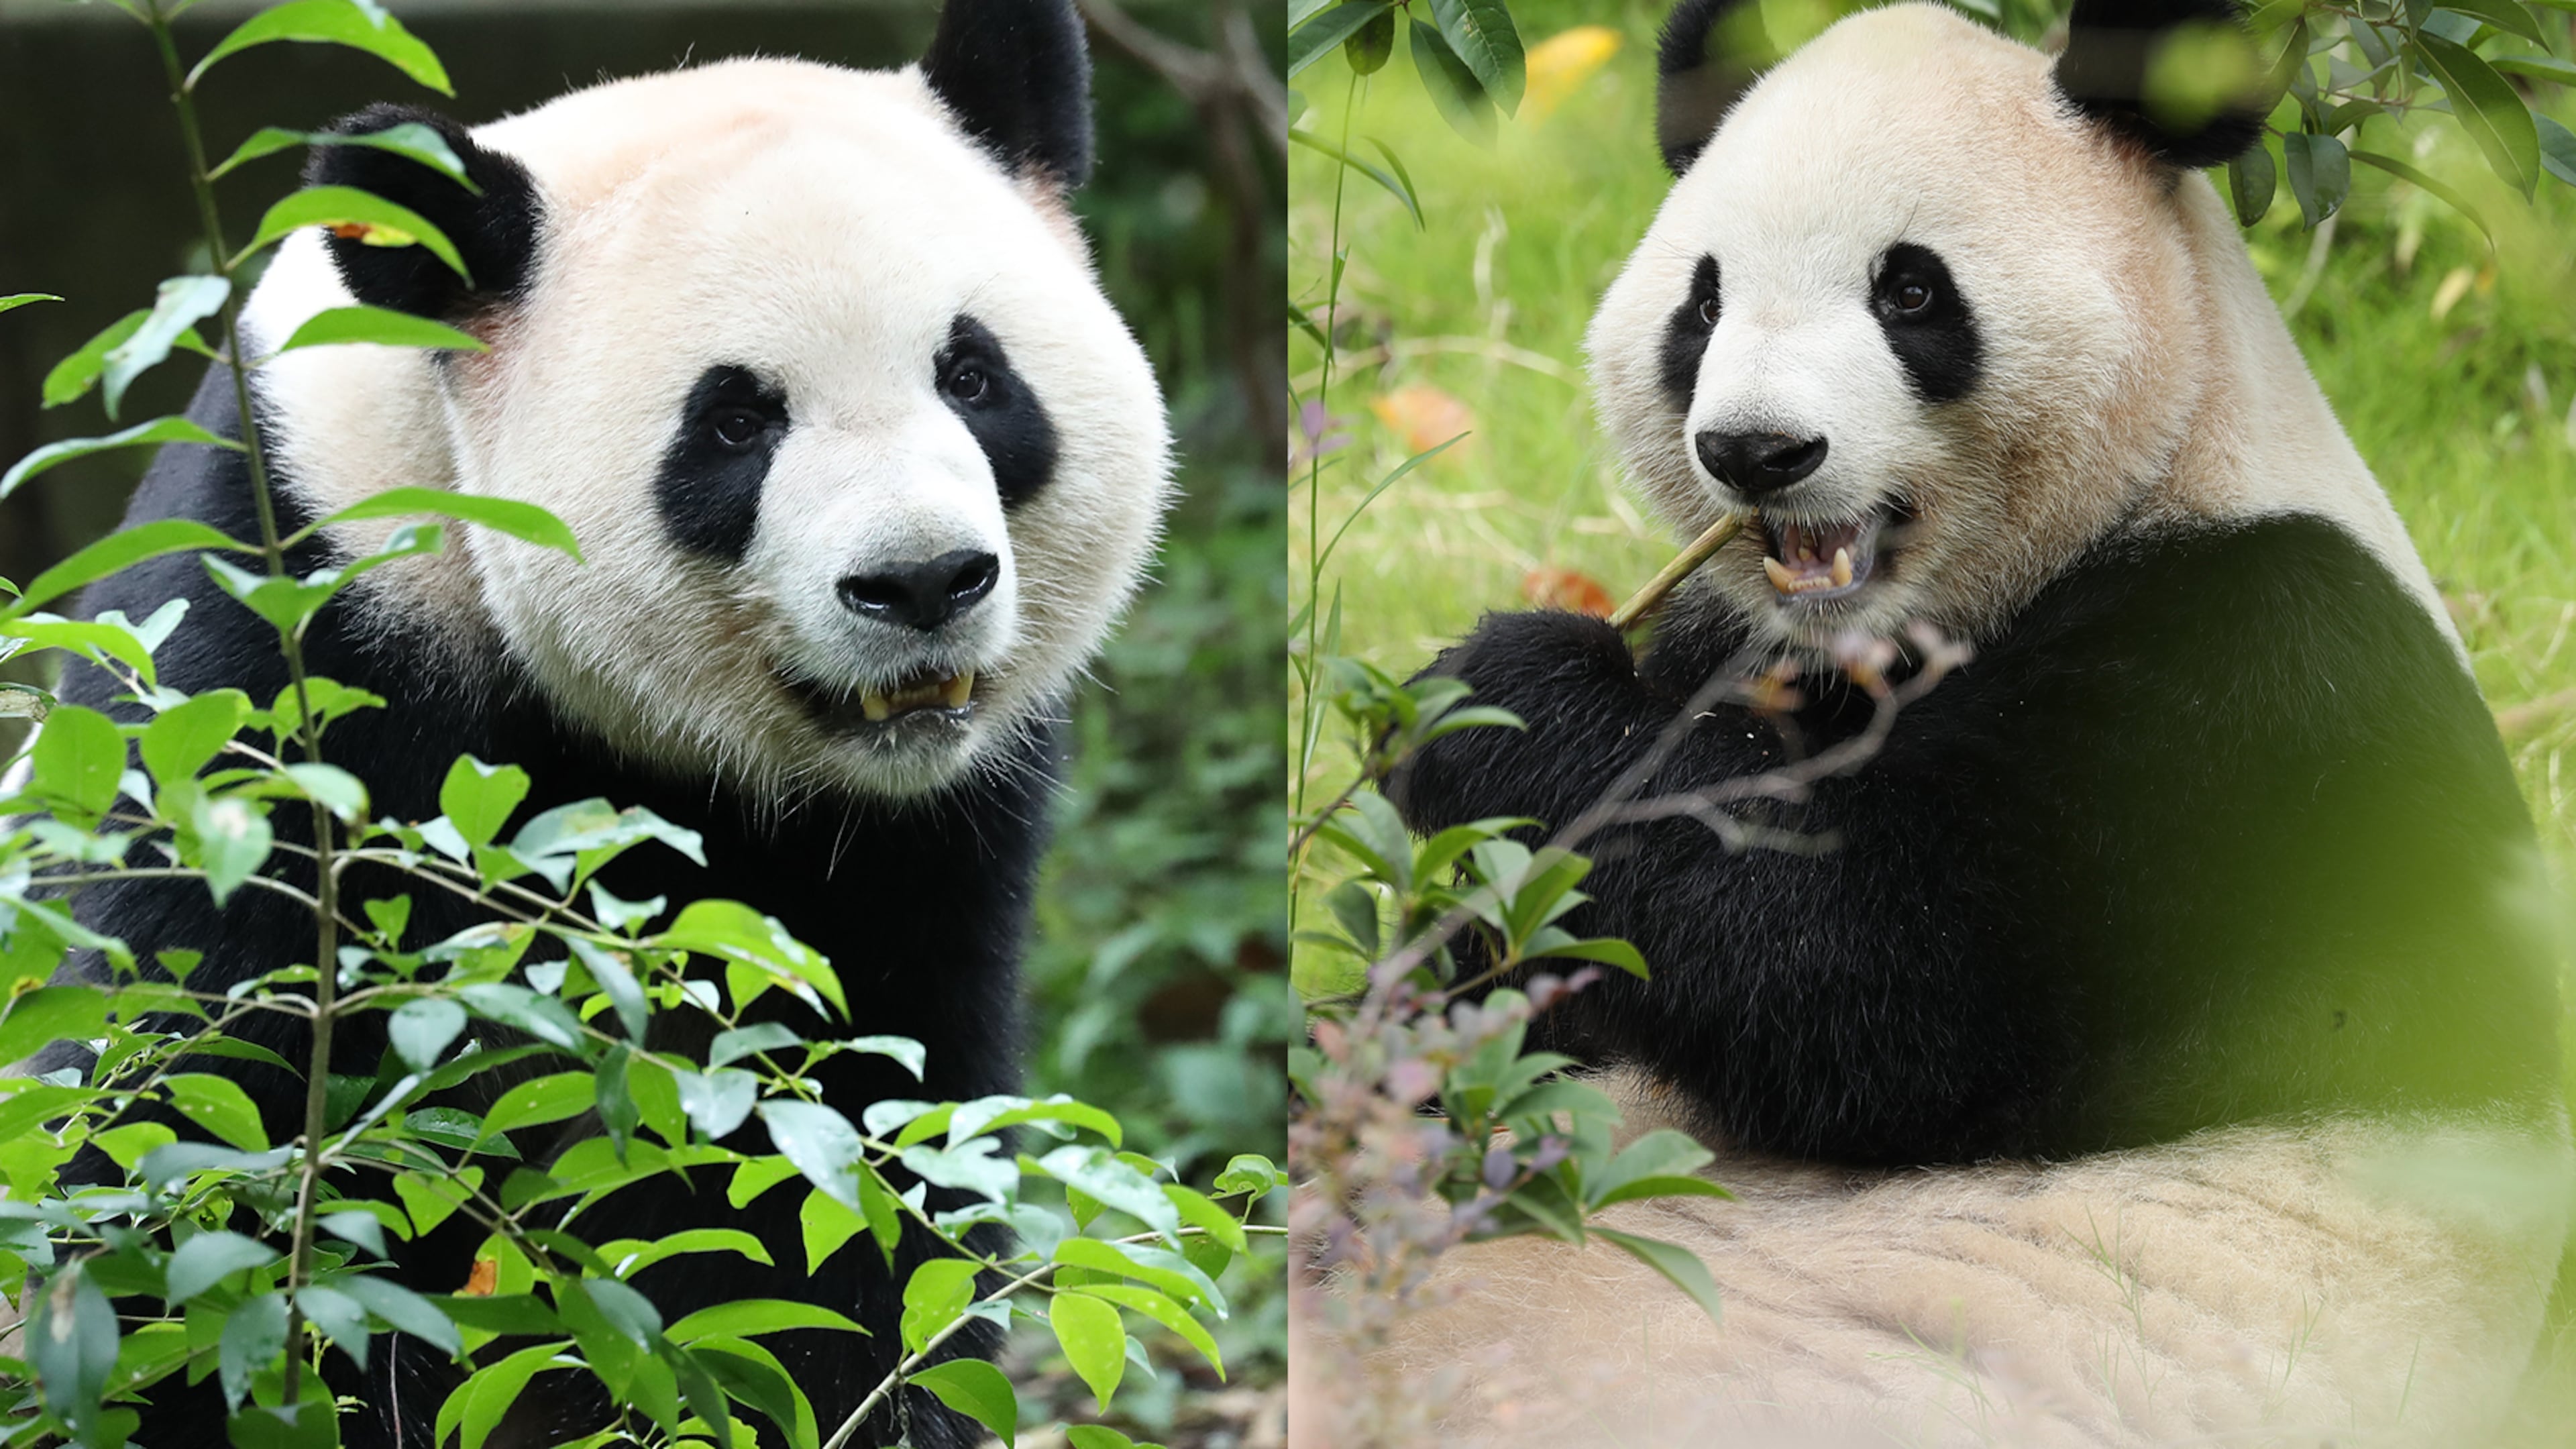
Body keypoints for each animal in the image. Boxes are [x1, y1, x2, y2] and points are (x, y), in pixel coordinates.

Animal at [22, 2, 1169, 1446]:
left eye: (972, 377)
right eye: (734, 421)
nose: (920, 584)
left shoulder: (915, 847)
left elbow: (845, 1150)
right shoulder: (285, 657)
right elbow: (181, 1097)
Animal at [1375, 0, 2573, 1440]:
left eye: (1911, 292)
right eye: (1701, 301)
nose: (1757, 452)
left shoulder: (2264, 681)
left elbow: (1867, 971)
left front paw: (1498, 698)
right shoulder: (1740, 646)